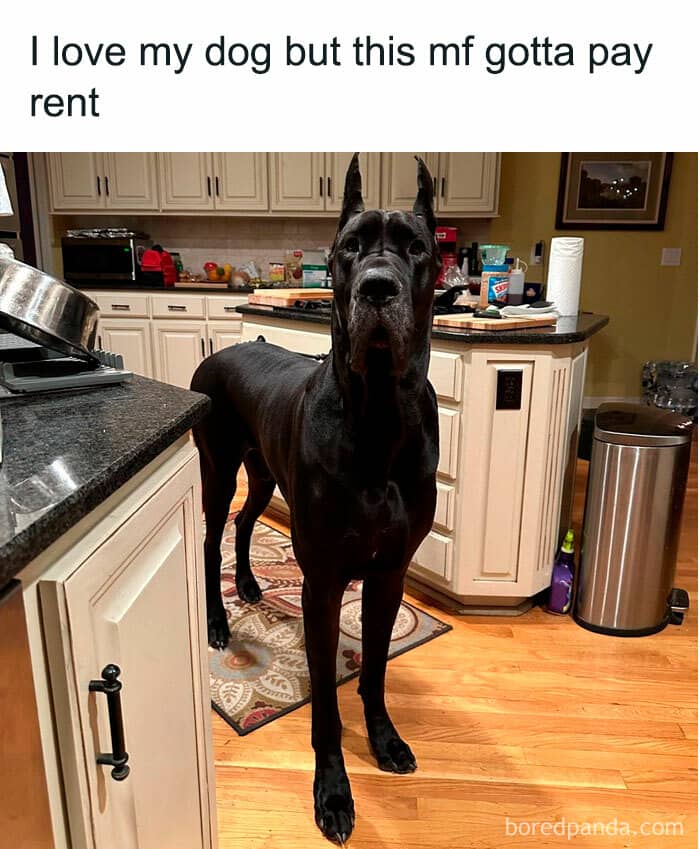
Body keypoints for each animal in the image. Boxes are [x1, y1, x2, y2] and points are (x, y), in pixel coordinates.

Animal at [191, 155, 441, 843]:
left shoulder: (388, 575)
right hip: (219, 470)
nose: (378, 289)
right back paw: (220, 621)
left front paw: (384, 738)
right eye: (349, 247)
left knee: (247, 524)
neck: (378, 412)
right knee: (211, 539)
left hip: (264, 474)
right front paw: (332, 788)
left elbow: (375, 669)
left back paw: (252, 586)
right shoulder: (323, 581)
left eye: (417, 247)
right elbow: (326, 695)